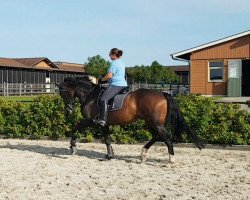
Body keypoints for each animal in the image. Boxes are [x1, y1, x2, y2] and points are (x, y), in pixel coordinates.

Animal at [57, 76, 204, 163]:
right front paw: (109, 155)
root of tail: (162, 93)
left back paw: (171, 159)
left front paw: (73, 147)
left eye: (63, 92)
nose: (68, 110)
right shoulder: (104, 124)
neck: (90, 95)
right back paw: (143, 154)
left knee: (166, 138)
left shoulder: (91, 120)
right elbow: (107, 139)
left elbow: (75, 126)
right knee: (157, 136)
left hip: (155, 123)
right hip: (150, 122)